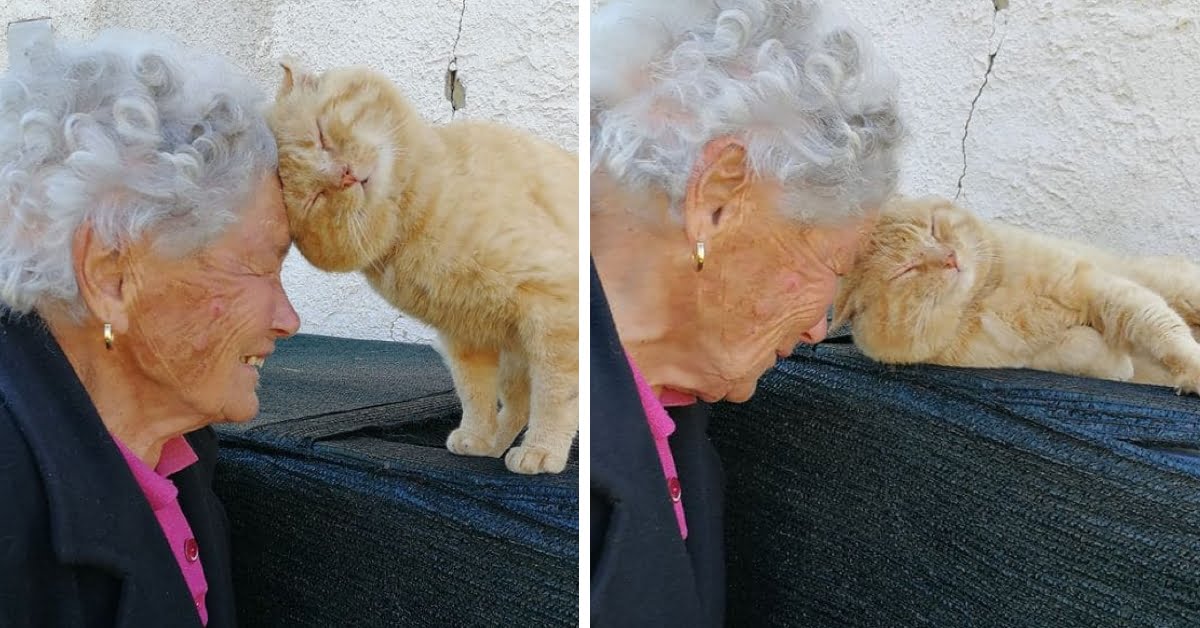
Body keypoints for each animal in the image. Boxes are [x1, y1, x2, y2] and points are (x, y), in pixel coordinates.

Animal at [266, 61, 580, 475]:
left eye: (320, 135)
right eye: (315, 198)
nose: (345, 174)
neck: (414, 220)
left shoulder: (555, 310)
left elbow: (556, 393)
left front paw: (543, 450)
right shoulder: (465, 335)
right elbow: (475, 393)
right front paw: (479, 437)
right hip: (513, 355)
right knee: (516, 403)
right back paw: (496, 443)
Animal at [840, 196, 1200, 393]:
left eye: (933, 228)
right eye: (907, 269)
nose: (949, 257)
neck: (986, 297)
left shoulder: (1099, 288)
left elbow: (1162, 329)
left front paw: (1191, 372)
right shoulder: (1026, 357)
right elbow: (1076, 349)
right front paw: (1118, 365)